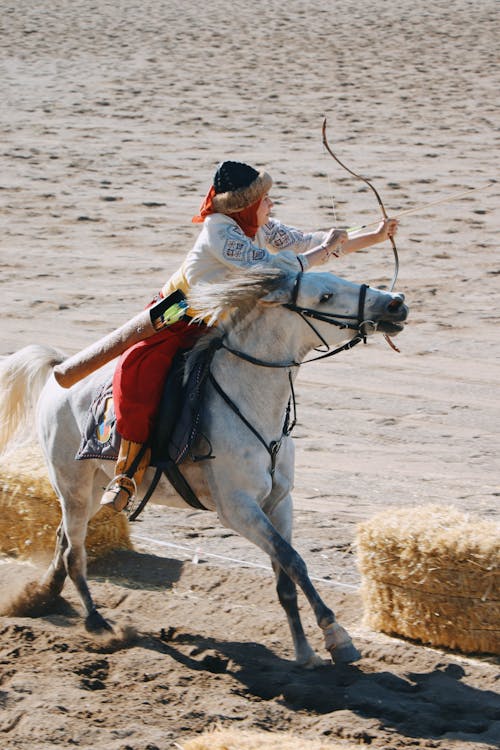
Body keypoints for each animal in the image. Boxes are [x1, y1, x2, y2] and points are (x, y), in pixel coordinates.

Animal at [0, 266, 406, 668]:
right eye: (324, 296)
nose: (395, 303)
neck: (251, 399)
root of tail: (58, 375)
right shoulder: (238, 509)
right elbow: (294, 561)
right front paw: (336, 636)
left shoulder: (279, 502)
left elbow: (285, 575)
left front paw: (305, 650)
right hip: (73, 486)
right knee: (74, 551)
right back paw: (98, 622)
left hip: (92, 488)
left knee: (63, 538)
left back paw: (45, 595)